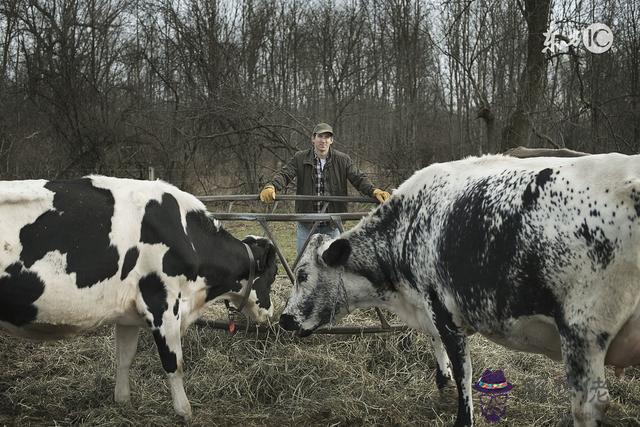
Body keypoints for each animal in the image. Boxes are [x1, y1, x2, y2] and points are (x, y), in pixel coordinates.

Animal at [1, 176, 278, 420]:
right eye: (273, 275)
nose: (271, 312)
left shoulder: (127, 315)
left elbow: (125, 358)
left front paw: (123, 401)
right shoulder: (163, 304)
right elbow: (174, 363)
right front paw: (184, 411)